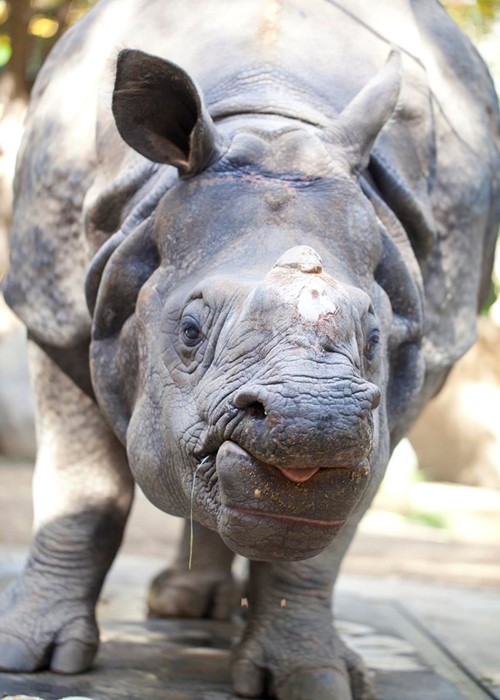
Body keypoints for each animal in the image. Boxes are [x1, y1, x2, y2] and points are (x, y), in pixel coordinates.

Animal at [1, 0, 498, 698]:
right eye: (189, 331)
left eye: (375, 336)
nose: (315, 418)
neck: (272, 119)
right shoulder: (55, 311)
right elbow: (81, 485)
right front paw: (30, 657)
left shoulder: (424, 353)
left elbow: (333, 529)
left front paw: (313, 677)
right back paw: (183, 607)